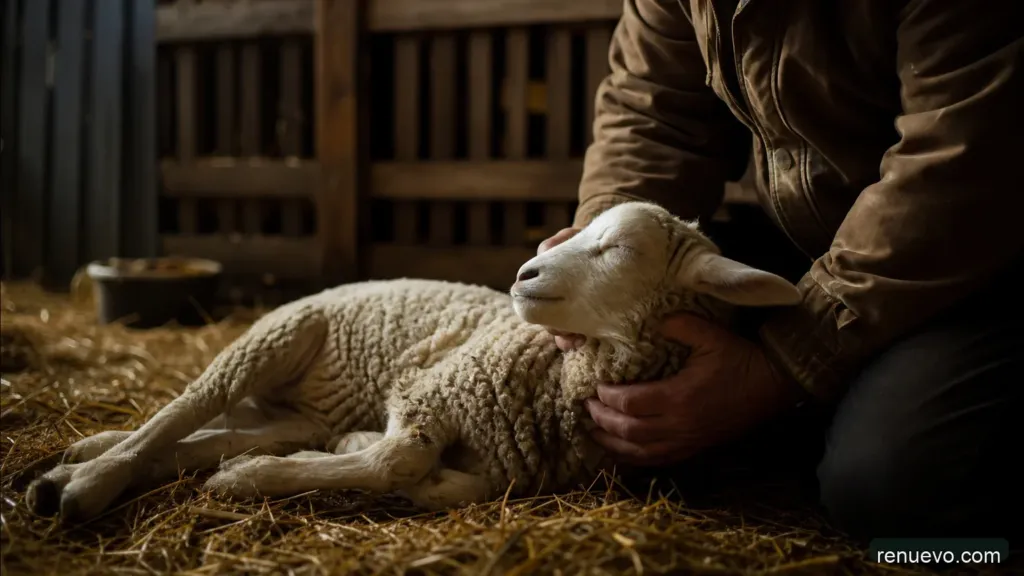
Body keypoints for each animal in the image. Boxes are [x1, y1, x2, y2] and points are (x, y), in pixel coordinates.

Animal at [24, 201, 801, 522]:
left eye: (620, 249)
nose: (524, 273)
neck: (558, 380)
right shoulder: (432, 386)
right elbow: (396, 460)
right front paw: (252, 482)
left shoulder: (496, 457)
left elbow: (454, 487)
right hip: (276, 333)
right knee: (182, 412)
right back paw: (85, 480)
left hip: (291, 410)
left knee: (212, 430)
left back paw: (81, 459)